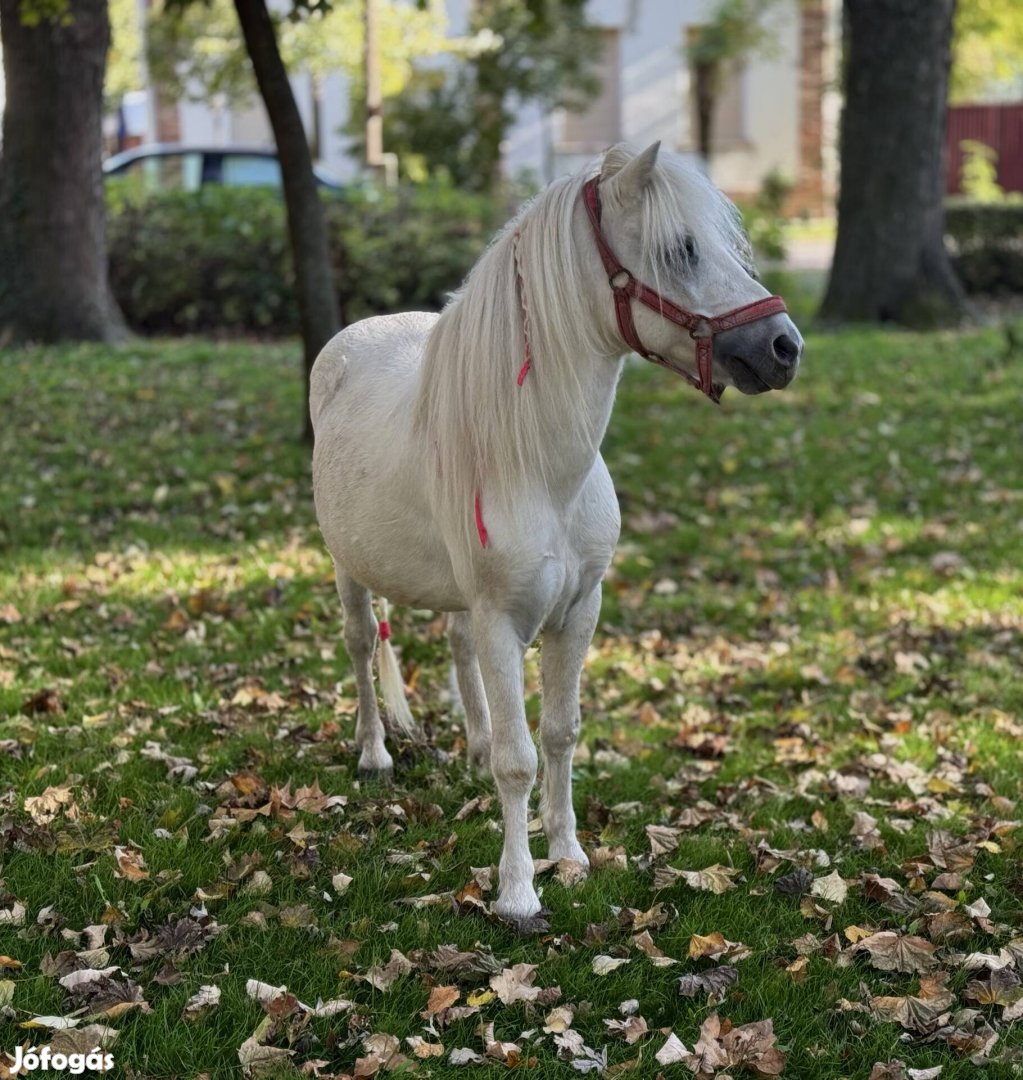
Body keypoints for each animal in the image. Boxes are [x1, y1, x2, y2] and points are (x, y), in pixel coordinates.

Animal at [308, 139, 799, 924]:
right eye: (681, 249)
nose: (784, 347)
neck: (538, 467)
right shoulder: (503, 620)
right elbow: (520, 761)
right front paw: (516, 893)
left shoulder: (578, 611)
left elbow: (561, 734)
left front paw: (568, 855)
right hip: (346, 566)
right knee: (359, 645)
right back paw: (375, 755)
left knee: (455, 649)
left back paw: (472, 748)